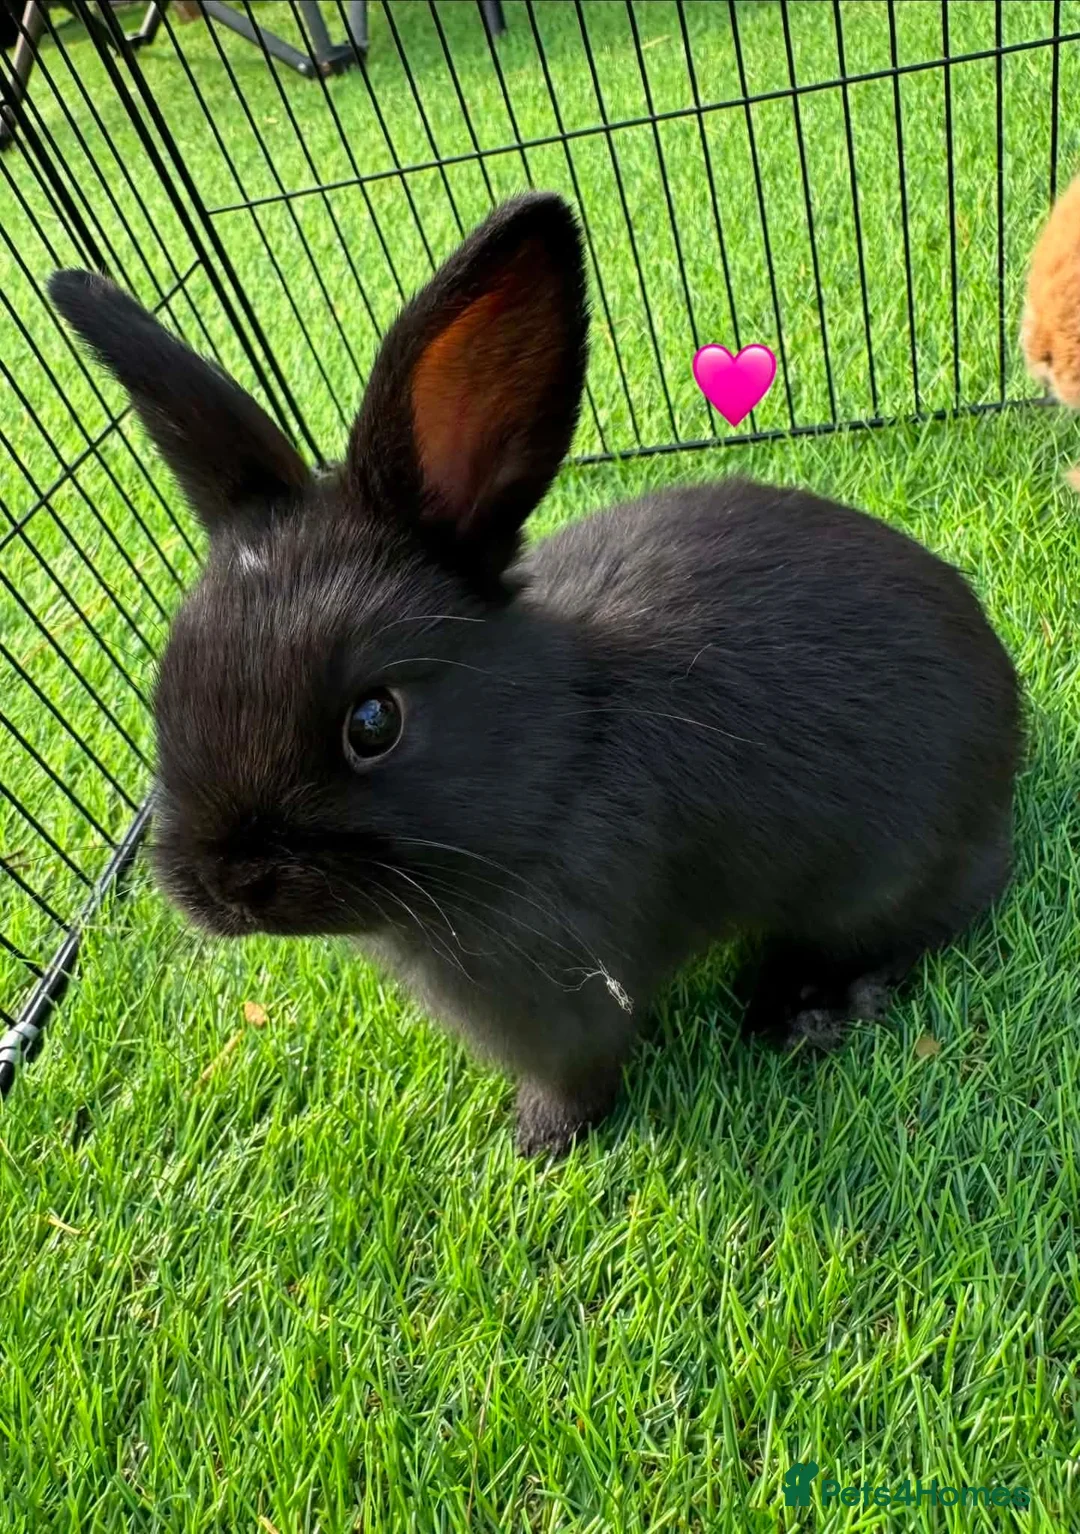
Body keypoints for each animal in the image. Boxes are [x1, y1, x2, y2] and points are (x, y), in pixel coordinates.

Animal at [48, 192, 1021, 1159]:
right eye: (167, 688)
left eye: (374, 723)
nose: (221, 886)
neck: (559, 764)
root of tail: (1010, 726)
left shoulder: (566, 1001)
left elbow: (577, 1071)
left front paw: (539, 1142)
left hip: (883, 880)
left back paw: (810, 1007)